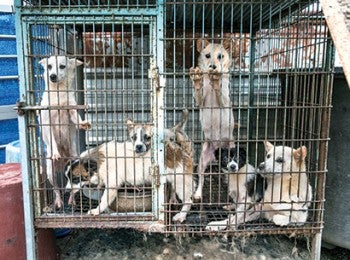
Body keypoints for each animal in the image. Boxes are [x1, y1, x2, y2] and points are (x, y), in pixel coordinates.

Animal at [39, 55, 91, 209]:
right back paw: (58, 202)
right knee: (56, 189)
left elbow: (77, 119)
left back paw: (72, 201)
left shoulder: (71, 111)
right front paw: (56, 152)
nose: (52, 76)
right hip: (50, 173)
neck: (58, 93)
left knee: (73, 189)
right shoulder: (47, 122)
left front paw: (83, 123)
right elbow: (52, 139)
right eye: (49, 66)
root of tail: (63, 162)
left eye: (62, 66)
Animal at [64, 110, 193, 222]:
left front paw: (96, 211)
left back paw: (181, 215)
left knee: (189, 201)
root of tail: (180, 149)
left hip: (181, 182)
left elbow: (104, 200)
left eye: (75, 178)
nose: (65, 191)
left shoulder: (112, 185)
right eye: (67, 178)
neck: (100, 161)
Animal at [189, 39, 235, 201]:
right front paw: (197, 80)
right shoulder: (199, 102)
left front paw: (217, 80)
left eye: (220, 56)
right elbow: (198, 92)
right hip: (202, 161)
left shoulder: (224, 102)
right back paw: (197, 194)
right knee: (201, 179)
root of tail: (217, 150)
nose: (213, 67)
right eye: (207, 55)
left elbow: (219, 89)